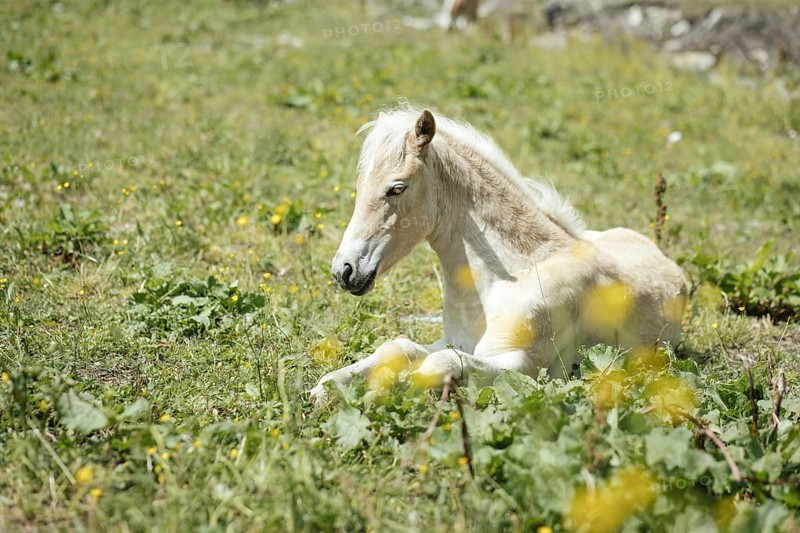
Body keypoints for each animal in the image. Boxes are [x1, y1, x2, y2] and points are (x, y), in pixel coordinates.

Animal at [310, 107, 686, 402]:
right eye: (359, 185)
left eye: (397, 188)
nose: (344, 270)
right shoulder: (452, 340)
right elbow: (399, 347)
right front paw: (326, 388)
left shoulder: (527, 366)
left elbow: (438, 365)